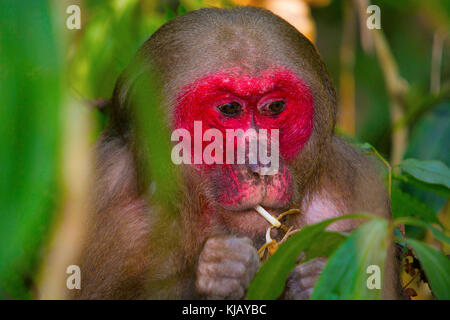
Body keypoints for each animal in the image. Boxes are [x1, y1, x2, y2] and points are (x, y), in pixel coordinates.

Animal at [71, 6, 404, 298]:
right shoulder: (103, 200)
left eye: (275, 106)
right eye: (230, 109)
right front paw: (216, 274)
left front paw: (317, 279)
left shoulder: (360, 190)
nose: (263, 166)